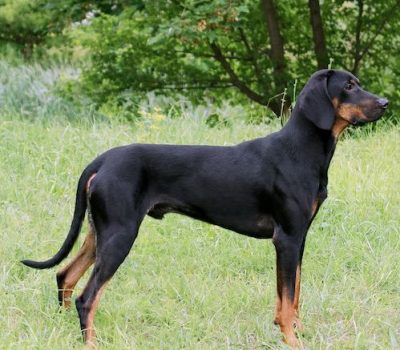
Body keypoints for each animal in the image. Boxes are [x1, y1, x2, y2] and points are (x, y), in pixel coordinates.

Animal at [21, 69, 388, 348]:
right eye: (348, 86)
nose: (385, 103)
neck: (300, 150)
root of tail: (101, 161)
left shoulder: (299, 239)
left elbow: (292, 296)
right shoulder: (286, 238)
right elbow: (287, 302)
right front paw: (292, 341)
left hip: (98, 233)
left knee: (65, 275)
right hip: (120, 235)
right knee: (87, 297)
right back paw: (90, 342)